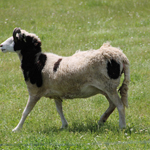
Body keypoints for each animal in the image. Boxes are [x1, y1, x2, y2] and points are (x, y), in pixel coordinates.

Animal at [0, 27, 129, 132]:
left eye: (15, 39)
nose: (1, 46)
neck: (35, 61)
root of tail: (120, 56)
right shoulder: (56, 93)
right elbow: (59, 109)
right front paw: (64, 126)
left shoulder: (34, 92)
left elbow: (26, 111)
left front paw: (16, 129)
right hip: (106, 88)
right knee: (112, 105)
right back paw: (101, 121)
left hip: (109, 86)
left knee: (120, 105)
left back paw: (122, 127)